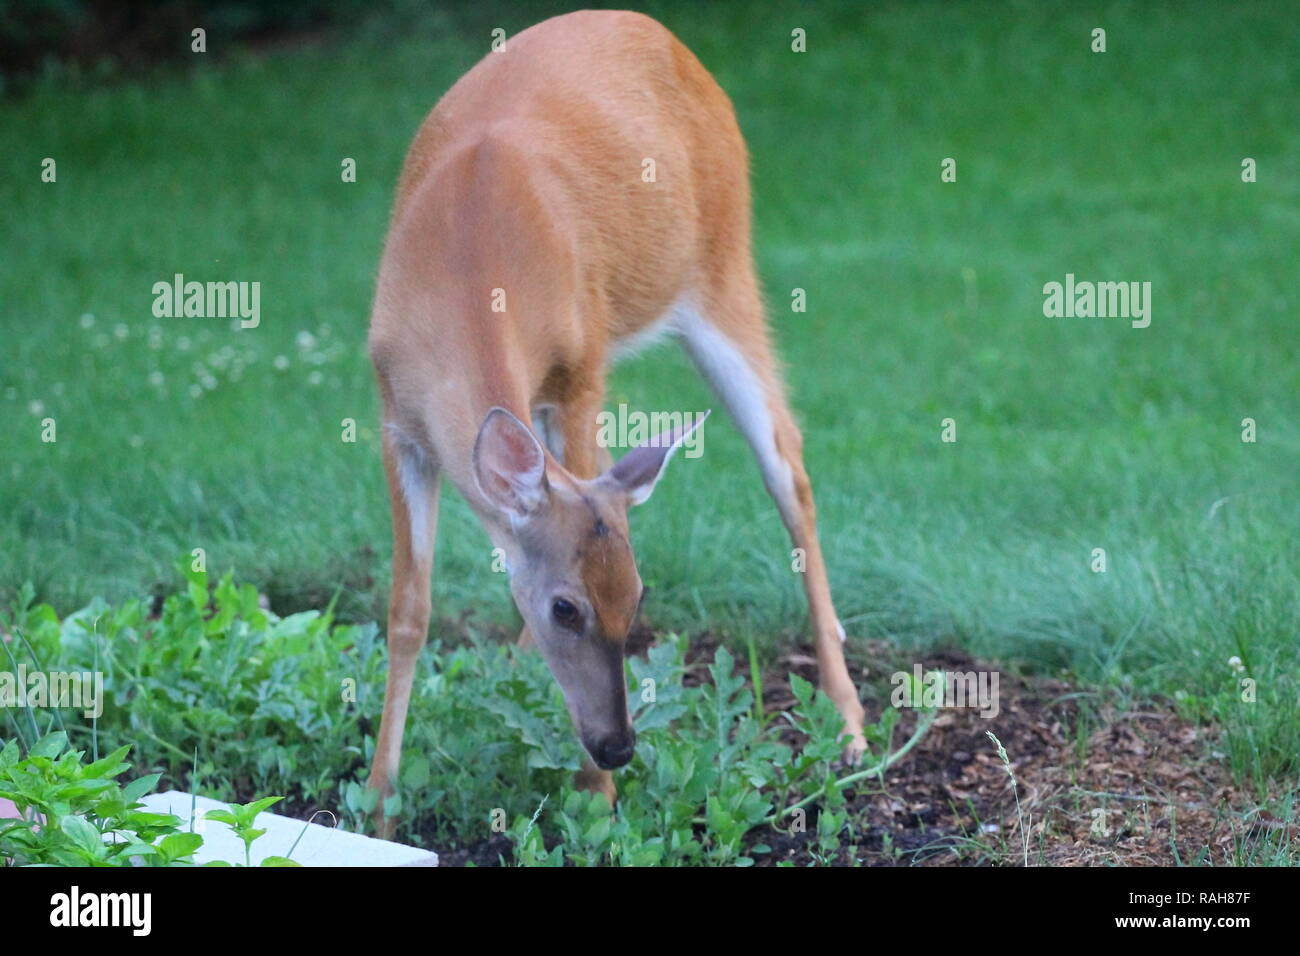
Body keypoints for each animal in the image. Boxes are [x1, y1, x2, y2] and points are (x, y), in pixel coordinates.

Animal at [365, 10, 866, 838]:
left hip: (723, 269)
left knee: (789, 468)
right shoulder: (393, 419)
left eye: (637, 599)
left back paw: (851, 725)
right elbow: (409, 607)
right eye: (566, 608)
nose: (618, 748)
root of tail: (659, 31)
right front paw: (378, 800)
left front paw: (595, 804)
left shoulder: (583, 366)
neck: (468, 267)